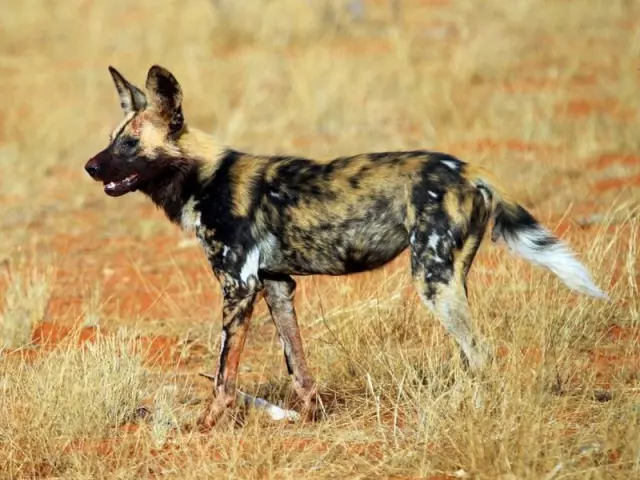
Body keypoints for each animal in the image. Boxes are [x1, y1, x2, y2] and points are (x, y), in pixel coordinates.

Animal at [85, 65, 608, 430]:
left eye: (130, 145)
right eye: (112, 139)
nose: (90, 166)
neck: (204, 177)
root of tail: (467, 168)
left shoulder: (239, 287)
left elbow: (222, 378)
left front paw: (206, 425)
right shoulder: (276, 285)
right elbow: (298, 366)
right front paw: (310, 419)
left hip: (431, 279)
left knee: (480, 352)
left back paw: (474, 411)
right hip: (450, 277)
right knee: (471, 354)